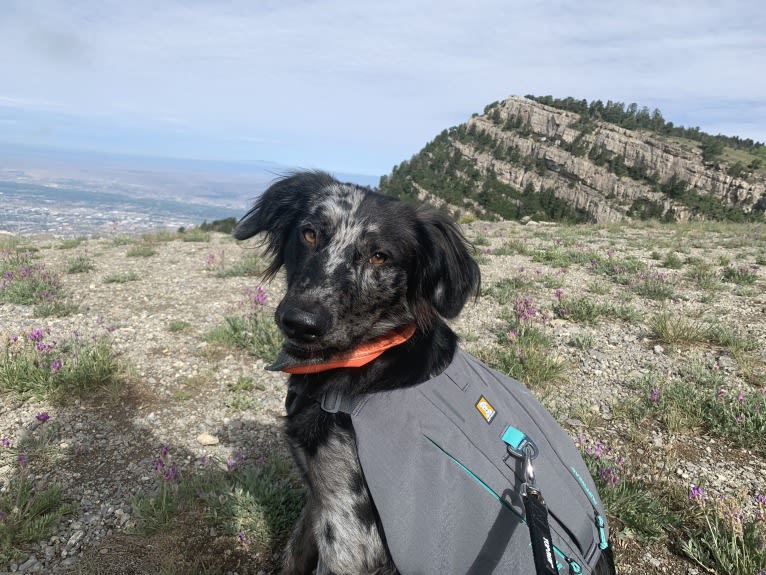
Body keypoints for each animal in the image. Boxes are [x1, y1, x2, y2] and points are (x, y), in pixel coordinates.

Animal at [234, 171, 616, 575]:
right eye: (309, 234)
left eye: (380, 256)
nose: (300, 322)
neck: (370, 358)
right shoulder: (319, 497)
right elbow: (293, 554)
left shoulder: (349, 533)